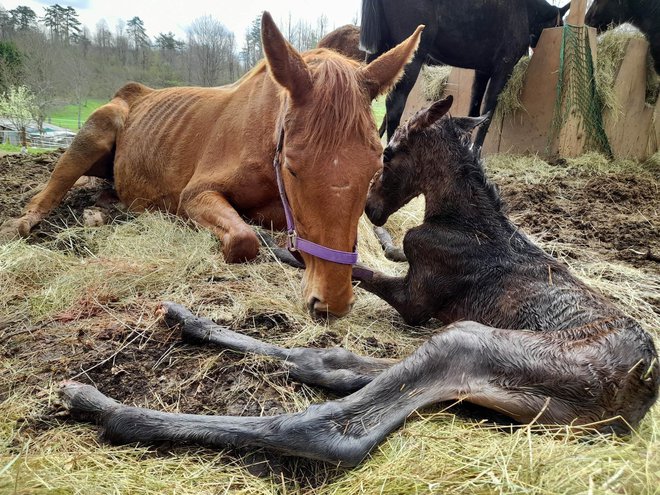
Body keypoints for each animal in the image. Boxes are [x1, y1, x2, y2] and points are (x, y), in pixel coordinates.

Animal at [1, 15, 422, 320]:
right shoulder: (196, 194)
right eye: (292, 167)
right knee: (53, 187)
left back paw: (99, 213)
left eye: (373, 168)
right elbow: (244, 238)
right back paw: (26, 222)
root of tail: (133, 93)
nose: (331, 301)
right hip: (95, 131)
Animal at [360, 0, 572, 146]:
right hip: (411, 57)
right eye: (559, 24)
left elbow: (475, 110)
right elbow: (488, 112)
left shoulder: (482, 72)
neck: (525, 10)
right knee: (394, 105)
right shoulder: (503, 69)